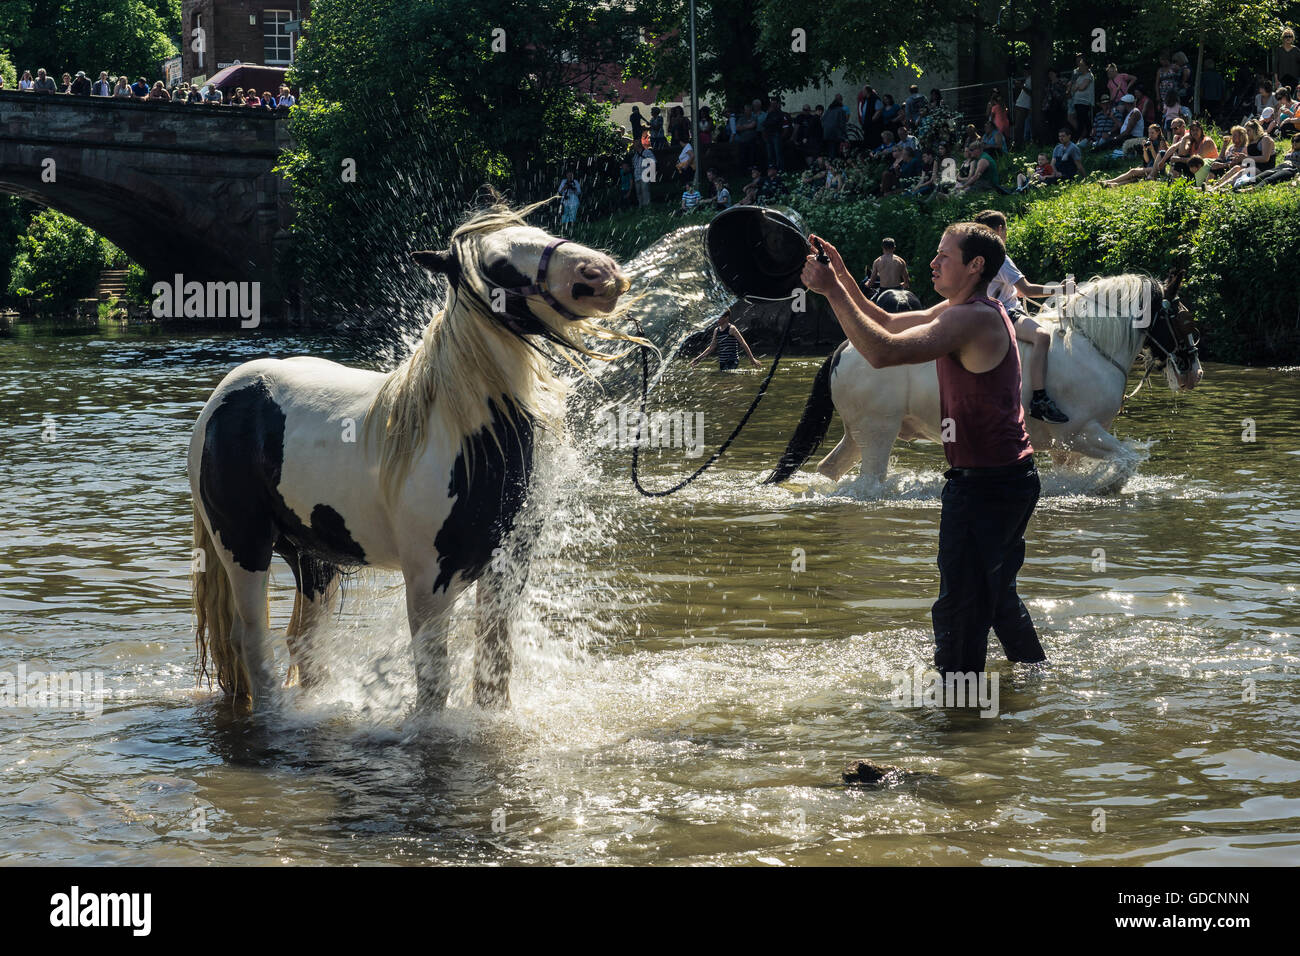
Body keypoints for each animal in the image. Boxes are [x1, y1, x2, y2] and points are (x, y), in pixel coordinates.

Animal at [189, 201, 637, 712]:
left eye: (537, 230)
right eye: (497, 264)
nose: (599, 273)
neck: (468, 442)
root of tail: (224, 396)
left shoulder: (506, 570)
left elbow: (494, 667)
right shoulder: (427, 583)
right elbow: (433, 681)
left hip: (313, 559)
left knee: (304, 642)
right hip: (244, 548)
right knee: (252, 642)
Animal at [764, 273, 1201, 489]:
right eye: (1183, 317)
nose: (1193, 371)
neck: (1090, 343)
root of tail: (846, 347)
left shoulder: (1069, 447)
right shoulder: (1080, 433)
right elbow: (1126, 460)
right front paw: (1104, 485)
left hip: (857, 433)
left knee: (830, 470)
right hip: (877, 432)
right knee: (867, 483)